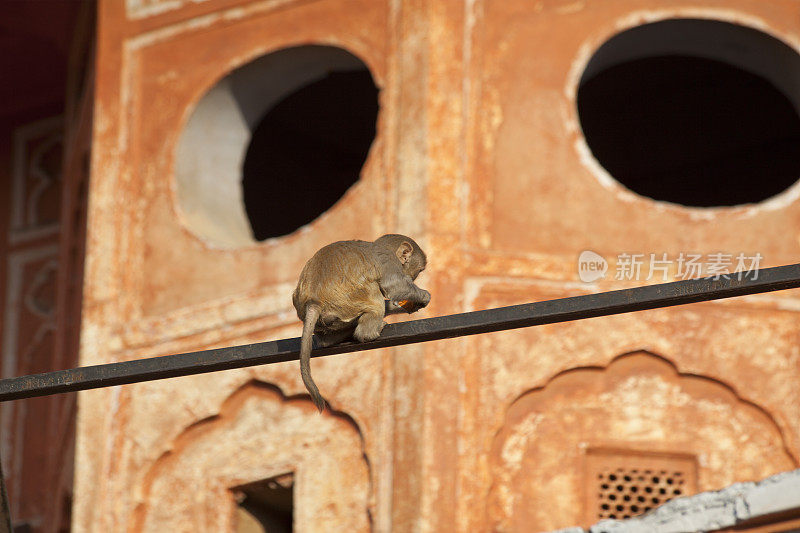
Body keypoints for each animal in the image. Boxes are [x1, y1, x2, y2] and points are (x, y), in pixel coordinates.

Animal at [294, 234, 432, 412]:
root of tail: (313, 302)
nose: (414, 277)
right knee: (374, 294)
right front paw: (423, 296)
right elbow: (394, 286)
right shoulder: (388, 260)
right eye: (419, 270)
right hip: (350, 299)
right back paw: (369, 332)